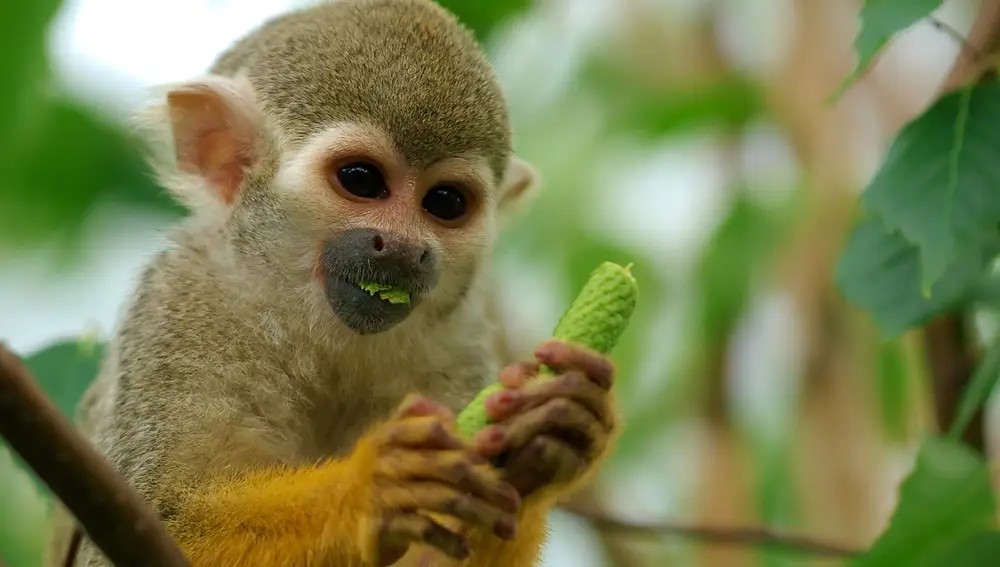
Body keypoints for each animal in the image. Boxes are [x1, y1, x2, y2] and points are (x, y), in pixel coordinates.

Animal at [43, 1, 621, 566]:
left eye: (445, 203)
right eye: (361, 180)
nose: (405, 249)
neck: (313, 325)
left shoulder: (457, 346)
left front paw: (552, 433)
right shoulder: (180, 306)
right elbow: (160, 523)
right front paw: (372, 489)